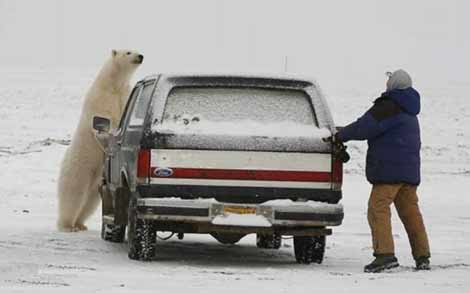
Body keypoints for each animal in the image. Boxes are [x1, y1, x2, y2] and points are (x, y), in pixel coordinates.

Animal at [56, 50, 142, 233]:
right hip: (79, 167)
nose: (140, 56)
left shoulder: (124, 94)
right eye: (128, 52)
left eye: (136, 49)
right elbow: (106, 116)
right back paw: (67, 225)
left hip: (97, 177)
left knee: (91, 200)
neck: (114, 83)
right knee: (74, 194)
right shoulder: (101, 96)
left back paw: (80, 224)